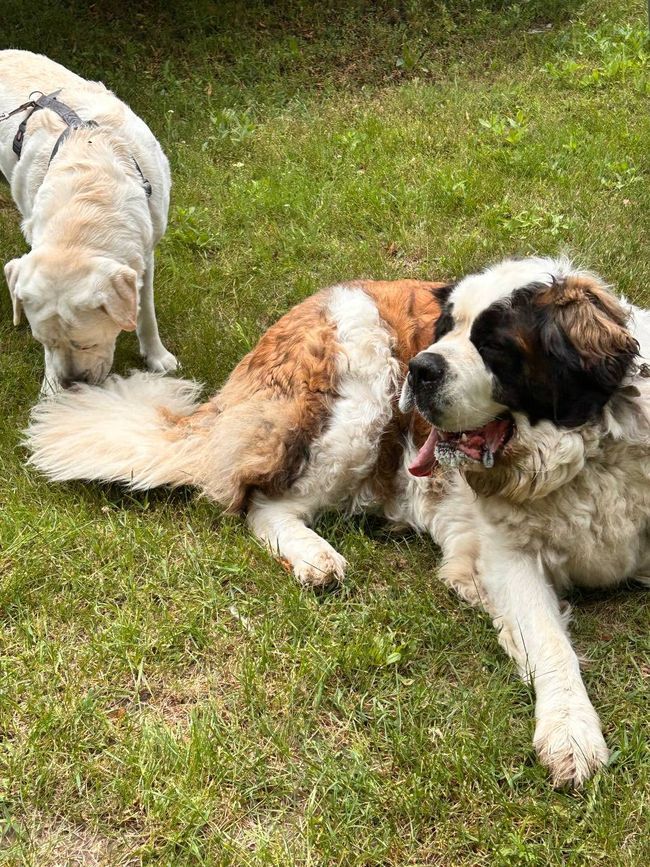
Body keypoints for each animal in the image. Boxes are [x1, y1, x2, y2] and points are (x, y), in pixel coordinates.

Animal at [0, 49, 177, 393]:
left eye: (86, 343)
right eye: (46, 342)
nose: (72, 385)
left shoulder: (146, 252)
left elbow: (145, 311)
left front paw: (157, 356)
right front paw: (50, 387)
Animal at [25, 257, 650, 787]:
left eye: (494, 345)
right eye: (444, 330)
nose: (422, 366)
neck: (581, 457)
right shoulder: (510, 556)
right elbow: (550, 643)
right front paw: (571, 732)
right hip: (359, 392)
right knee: (263, 504)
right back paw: (315, 557)